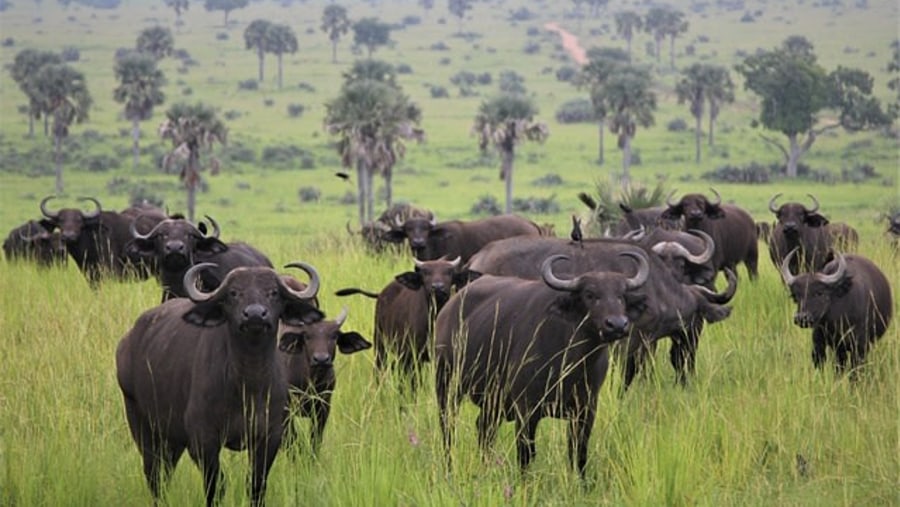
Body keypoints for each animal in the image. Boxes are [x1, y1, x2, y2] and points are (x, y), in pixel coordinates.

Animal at [114, 260, 322, 506]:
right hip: (142, 425)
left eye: (273, 292)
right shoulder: (203, 441)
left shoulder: (270, 437)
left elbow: (256, 485)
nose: (255, 315)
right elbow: (216, 485)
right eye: (233, 293)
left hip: (172, 437)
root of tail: (127, 343)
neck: (248, 385)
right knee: (154, 475)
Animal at [278, 306, 370, 452]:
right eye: (307, 336)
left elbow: (315, 441)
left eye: (334, 336)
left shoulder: (323, 408)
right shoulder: (285, 412)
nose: (321, 359)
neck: (311, 381)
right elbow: (293, 442)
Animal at [336, 256, 474, 394]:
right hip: (380, 343)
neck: (433, 321)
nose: (438, 287)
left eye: (449, 272)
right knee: (380, 369)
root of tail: (381, 293)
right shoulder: (413, 357)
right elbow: (415, 384)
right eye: (425, 273)